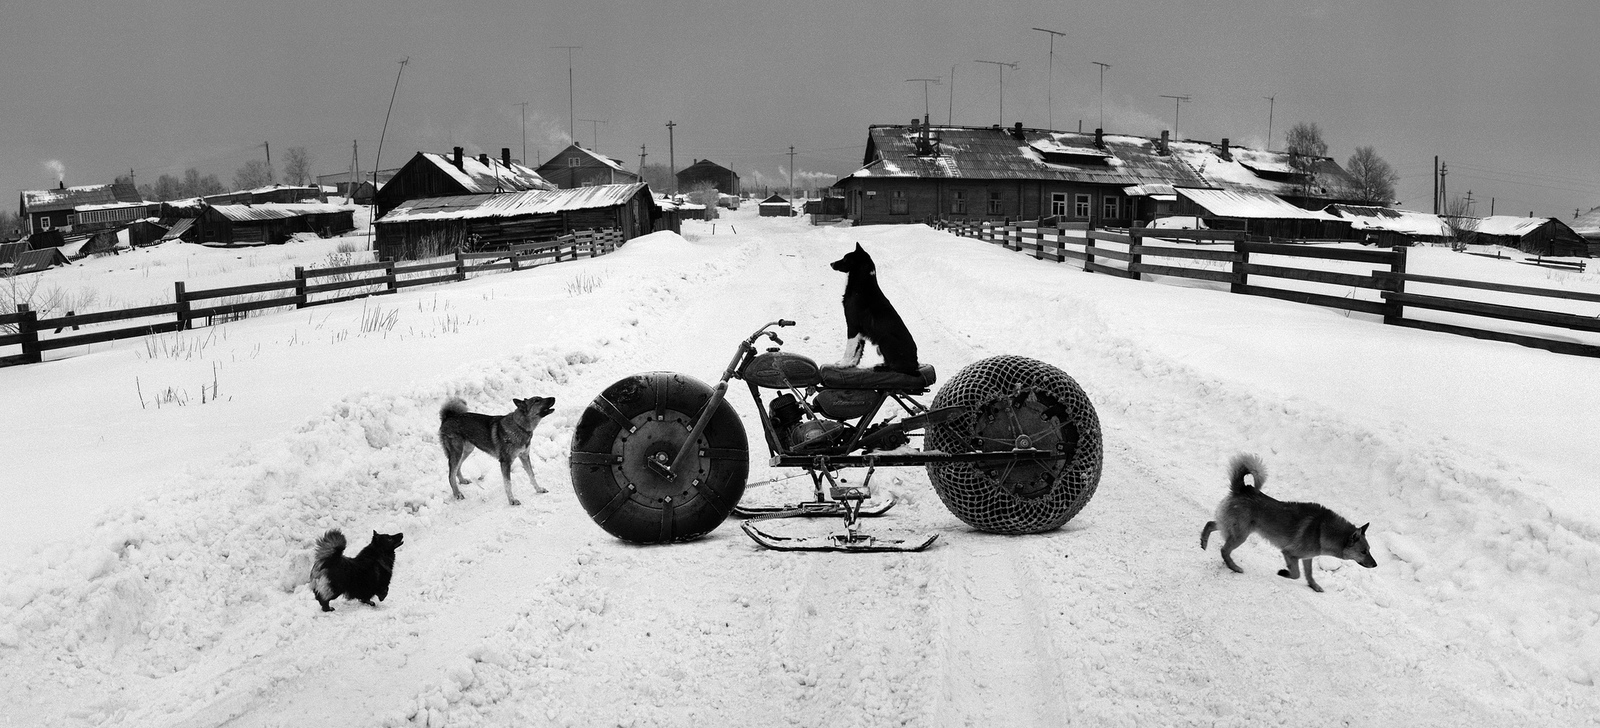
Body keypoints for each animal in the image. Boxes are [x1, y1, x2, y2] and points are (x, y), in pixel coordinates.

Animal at [832, 243, 921, 372]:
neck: (862, 284)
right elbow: (858, 349)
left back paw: (880, 368)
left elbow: (850, 348)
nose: (831, 263)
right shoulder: (860, 330)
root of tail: (915, 363)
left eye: (845, 258)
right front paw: (851, 364)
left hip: (885, 339)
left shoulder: (853, 325)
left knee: (897, 367)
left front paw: (843, 363)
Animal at [1203, 454, 1376, 592]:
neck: (1322, 531)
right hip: (1240, 534)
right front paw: (1284, 572)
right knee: (1224, 550)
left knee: (1210, 524)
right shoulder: (1289, 553)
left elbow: (1309, 574)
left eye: (1369, 550)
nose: (1375, 565)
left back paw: (1203, 542)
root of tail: (1243, 489)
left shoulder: (1307, 558)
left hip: (1232, 528)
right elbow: (1296, 574)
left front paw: (1314, 586)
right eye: (1363, 552)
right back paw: (1233, 566)